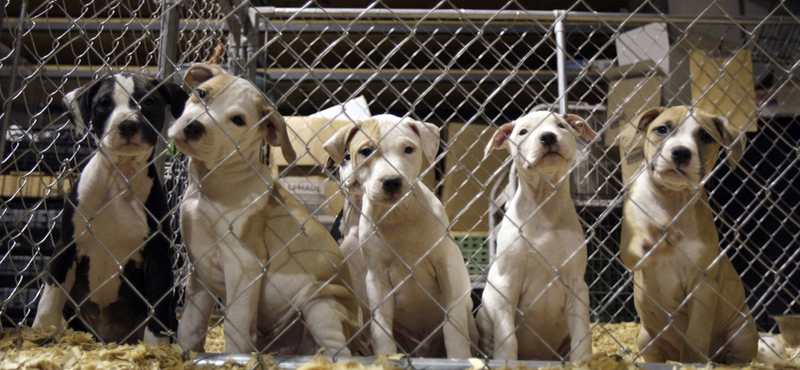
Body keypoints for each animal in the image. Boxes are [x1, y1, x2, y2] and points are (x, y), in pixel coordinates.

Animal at [33, 73, 188, 346]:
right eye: (104, 103)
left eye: (149, 102)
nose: (127, 125)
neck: (119, 177)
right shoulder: (66, 247)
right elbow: (49, 301)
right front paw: (40, 334)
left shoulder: (158, 256)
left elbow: (158, 310)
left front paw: (155, 348)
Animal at [170, 64, 360, 356]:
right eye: (201, 93)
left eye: (238, 120)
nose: (193, 127)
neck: (211, 183)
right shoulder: (199, 271)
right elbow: (190, 327)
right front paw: (187, 354)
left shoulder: (244, 262)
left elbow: (235, 326)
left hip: (321, 304)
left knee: (338, 350)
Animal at [322, 114, 478, 356]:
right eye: (365, 151)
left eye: (409, 149)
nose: (391, 181)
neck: (397, 215)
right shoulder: (377, 279)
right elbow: (381, 329)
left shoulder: (448, 267)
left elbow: (453, 325)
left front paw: (458, 358)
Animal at [476, 111, 592, 360]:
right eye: (523, 132)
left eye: (561, 126)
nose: (548, 137)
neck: (544, 202)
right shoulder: (506, 284)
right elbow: (508, 337)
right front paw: (507, 361)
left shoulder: (577, 286)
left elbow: (582, 336)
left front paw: (583, 361)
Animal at [620, 105, 760, 362]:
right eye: (662, 129)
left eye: (705, 137)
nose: (681, 152)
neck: (671, 198)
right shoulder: (630, 251)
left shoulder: (703, 285)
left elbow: (695, 337)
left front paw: (693, 362)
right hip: (646, 338)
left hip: (743, 332)